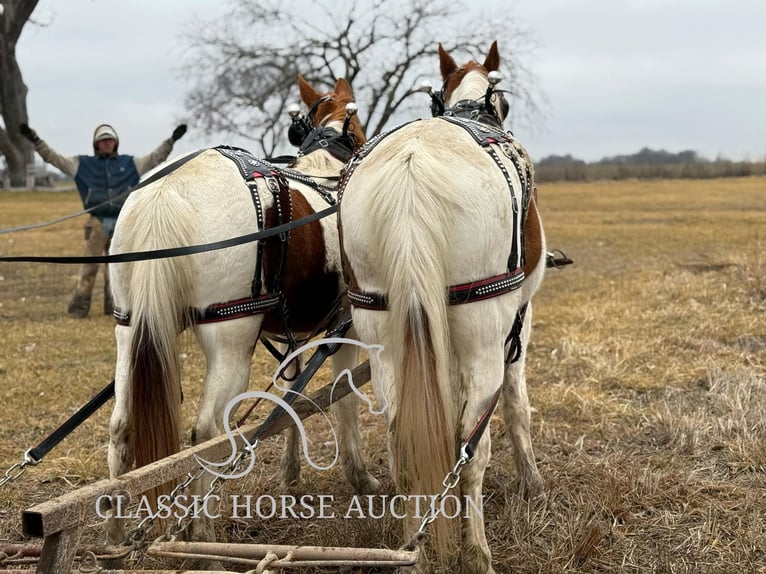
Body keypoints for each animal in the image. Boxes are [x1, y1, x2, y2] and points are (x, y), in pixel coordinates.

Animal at [107, 76, 378, 544]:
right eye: (359, 127)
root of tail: (166, 193)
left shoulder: (289, 334)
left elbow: (291, 394)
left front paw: (291, 475)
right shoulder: (345, 328)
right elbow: (341, 397)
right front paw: (360, 478)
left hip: (129, 329)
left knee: (121, 425)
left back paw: (116, 536)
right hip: (230, 342)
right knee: (207, 432)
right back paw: (203, 535)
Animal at [340, 42, 548, 572]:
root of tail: (412, 172)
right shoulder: (518, 323)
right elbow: (516, 405)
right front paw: (532, 482)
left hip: (383, 334)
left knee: (404, 445)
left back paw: (413, 548)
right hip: (482, 334)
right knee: (472, 448)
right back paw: (476, 552)